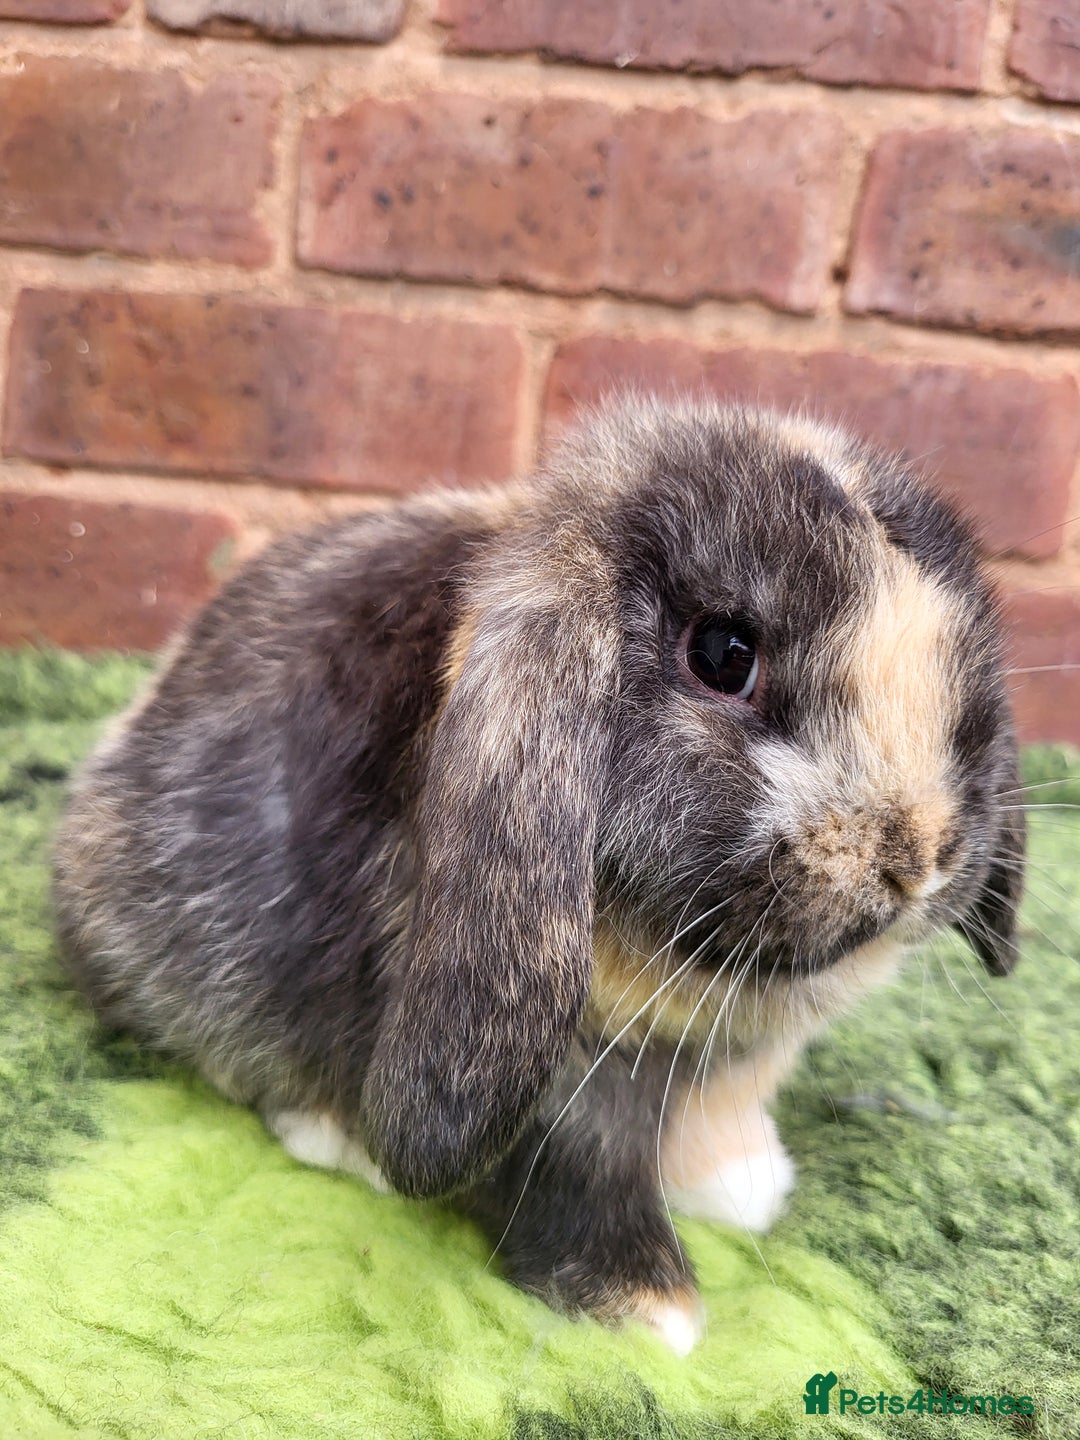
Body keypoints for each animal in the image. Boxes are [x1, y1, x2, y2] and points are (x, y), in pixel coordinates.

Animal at [53, 398, 1025, 1355]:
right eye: (722, 654)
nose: (917, 856)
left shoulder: (730, 1064)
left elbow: (713, 1115)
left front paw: (744, 1184)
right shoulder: (553, 1064)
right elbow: (581, 1161)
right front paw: (651, 1311)